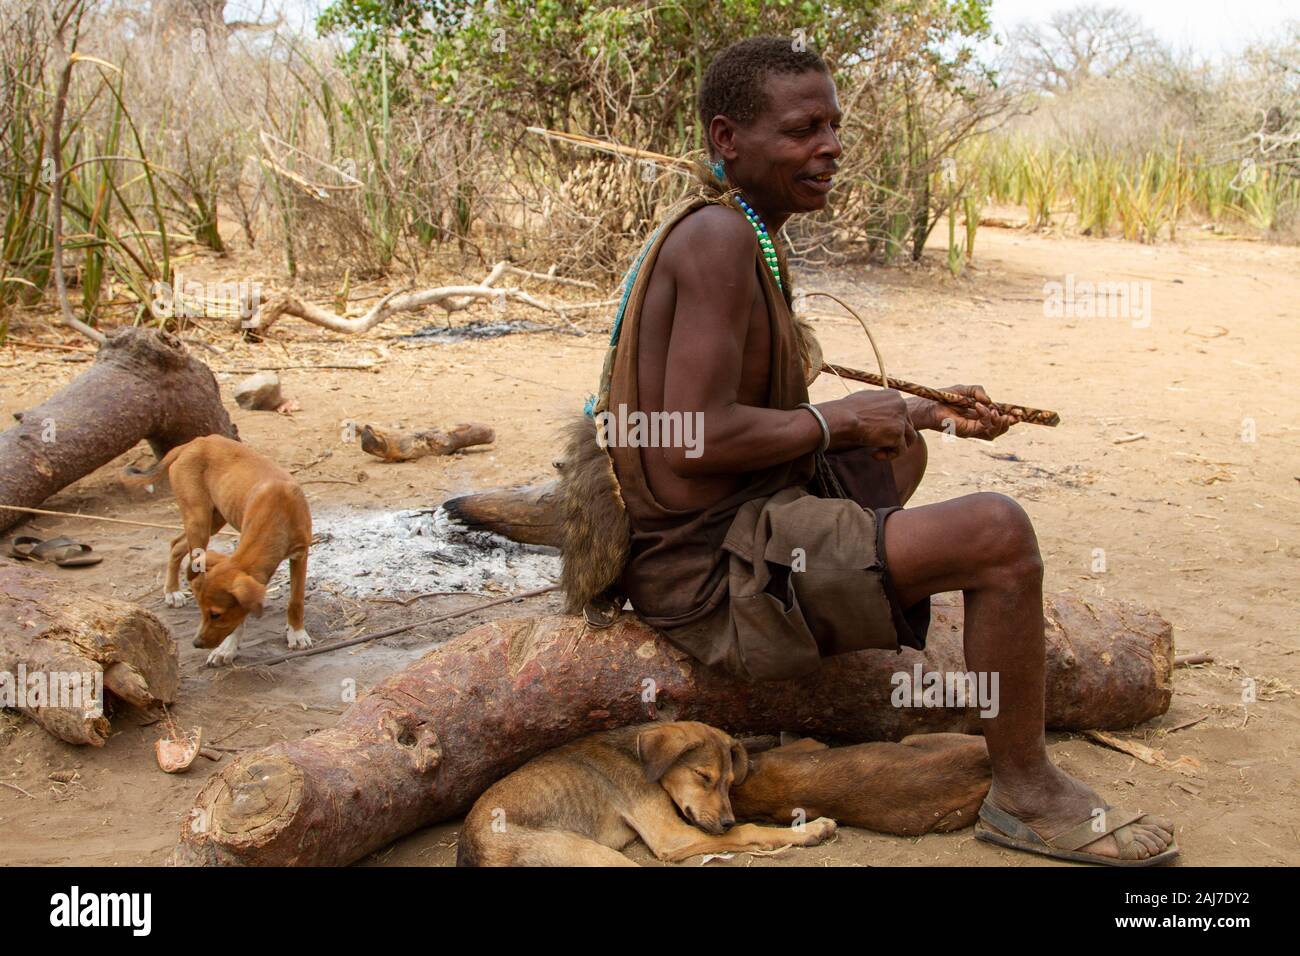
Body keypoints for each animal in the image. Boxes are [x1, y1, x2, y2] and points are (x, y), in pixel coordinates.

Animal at [125, 434, 313, 665]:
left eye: (215, 614)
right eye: (203, 612)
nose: (196, 644)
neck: (278, 511)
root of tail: (194, 442)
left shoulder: (301, 554)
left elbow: (296, 600)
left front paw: (296, 633)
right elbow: (241, 618)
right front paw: (227, 649)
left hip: (213, 519)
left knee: (176, 544)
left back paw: (173, 590)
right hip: (199, 519)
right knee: (182, 549)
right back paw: (172, 591)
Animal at [457, 723, 982, 863]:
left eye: (730, 782)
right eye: (705, 778)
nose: (724, 818)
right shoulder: (673, 837)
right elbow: (750, 831)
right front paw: (810, 830)